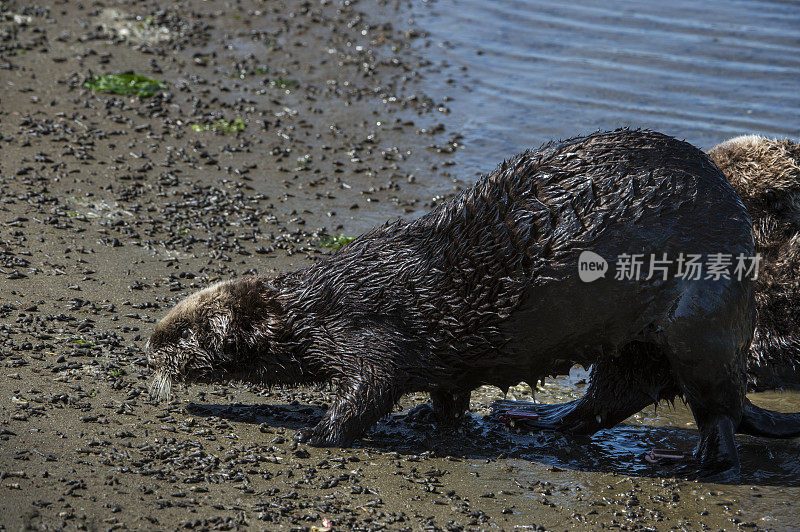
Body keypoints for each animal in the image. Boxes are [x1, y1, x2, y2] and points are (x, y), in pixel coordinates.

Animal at [147, 130, 796, 482]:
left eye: (180, 333)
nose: (147, 351)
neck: (324, 303)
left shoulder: (367, 334)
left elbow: (369, 389)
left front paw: (317, 432)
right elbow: (445, 390)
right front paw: (434, 417)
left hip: (701, 324)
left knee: (716, 415)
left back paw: (700, 463)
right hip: (641, 345)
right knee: (607, 402)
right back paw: (536, 418)